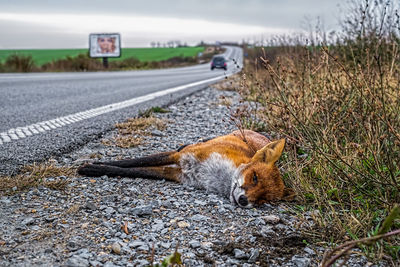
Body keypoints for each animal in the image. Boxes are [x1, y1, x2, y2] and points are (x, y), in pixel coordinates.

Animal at [78, 130, 296, 209]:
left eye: (263, 200)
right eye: (255, 177)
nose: (243, 201)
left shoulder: (176, 174)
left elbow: (136, 171)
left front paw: (95, 168)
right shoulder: (180, 158)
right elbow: (131, 163)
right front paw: (91, 167)